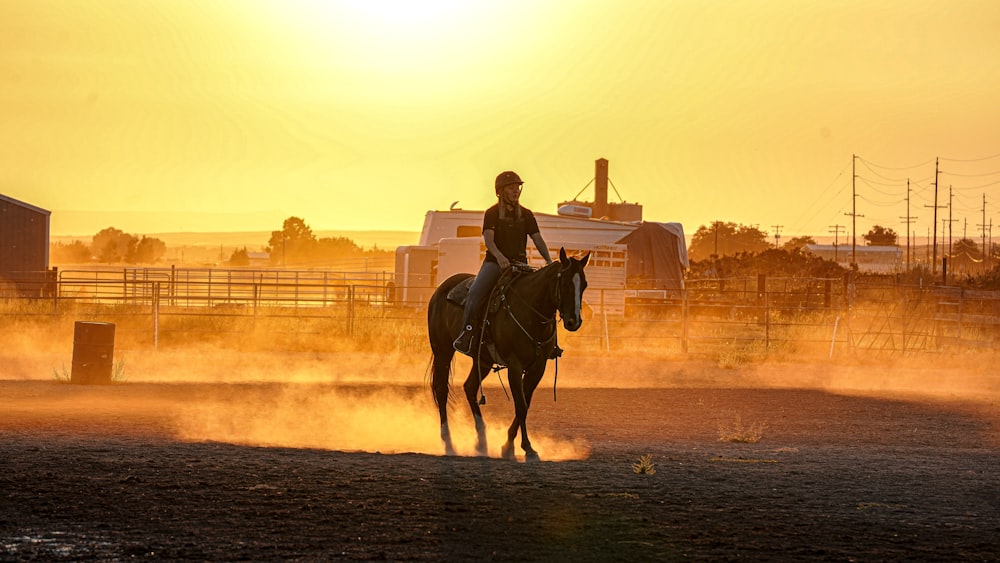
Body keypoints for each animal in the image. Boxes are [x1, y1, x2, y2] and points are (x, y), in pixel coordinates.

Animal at [426, 249, 588, 460]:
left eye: (584, 284)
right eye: (566, 282)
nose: (573, 321)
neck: (530, 310)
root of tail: (441, 289)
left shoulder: (538, 367)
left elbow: (525, 404)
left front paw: (509, 445)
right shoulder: (515, 366)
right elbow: (521, 405)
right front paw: (526, 448)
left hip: (483, 360)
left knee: (470, 387)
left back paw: (482, 441)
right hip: (443, 351)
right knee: (442, 389)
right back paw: (448, 442)